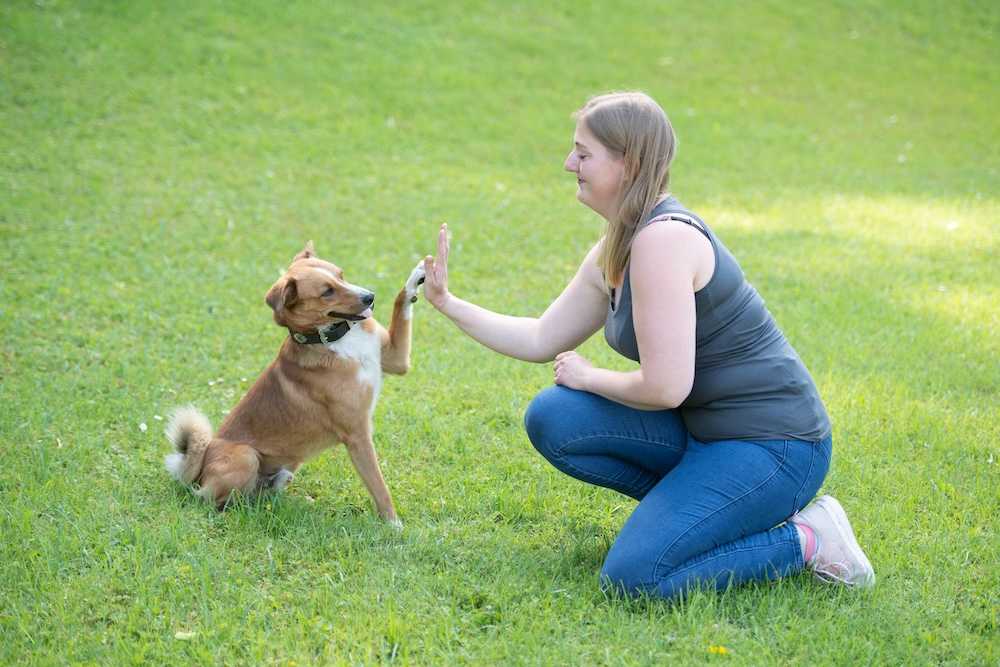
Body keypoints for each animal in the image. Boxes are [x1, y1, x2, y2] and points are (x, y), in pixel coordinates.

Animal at [166, 240, 424, 528]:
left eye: (341, 275)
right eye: (326, 292)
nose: (370, 296)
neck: (334, 338)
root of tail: (198, 471)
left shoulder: (396, 360)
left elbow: (401, 304)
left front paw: (418, 276)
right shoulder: (357, 434)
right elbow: (379, 486)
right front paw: (393, 525)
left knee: (259, 491)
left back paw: (277, 486)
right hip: (246, 456)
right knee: (215, 500)